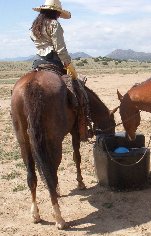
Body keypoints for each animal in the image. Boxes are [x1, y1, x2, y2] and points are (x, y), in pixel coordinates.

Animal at [10, 70, 115, 229]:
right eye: (113, 125)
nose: (113, 138)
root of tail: (32, 84)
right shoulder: (75, 132)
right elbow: (77, 157)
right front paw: (80, 183)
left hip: (24, 142)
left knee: (32, 176)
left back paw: (36, 214)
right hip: (54, 142)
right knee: (51, 174)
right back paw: (59, 218)